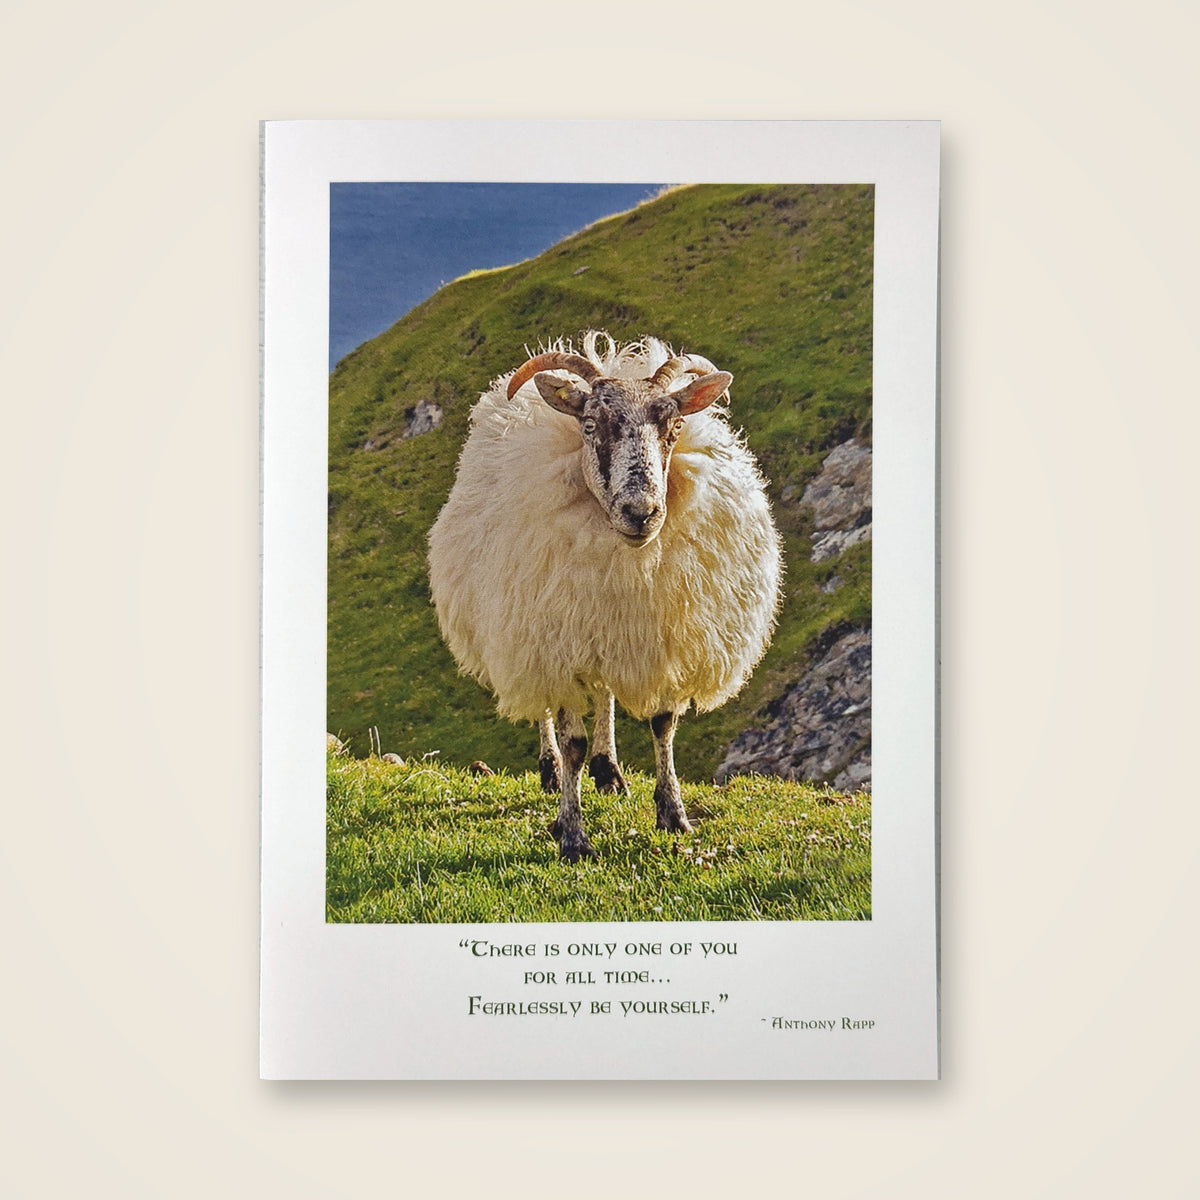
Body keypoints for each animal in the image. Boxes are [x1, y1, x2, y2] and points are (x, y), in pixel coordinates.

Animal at [427, 331, 782, 861]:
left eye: (676, 425)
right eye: (591, 424)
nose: (641, 512)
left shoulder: (656, 635)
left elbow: (662, 725)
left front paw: (672, 814)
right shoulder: (559, 642)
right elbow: (571, 736)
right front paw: (572, 834)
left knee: (605, 692)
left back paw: (608, 768)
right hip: (525, 631)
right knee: (545, 708)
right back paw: (554, 770)